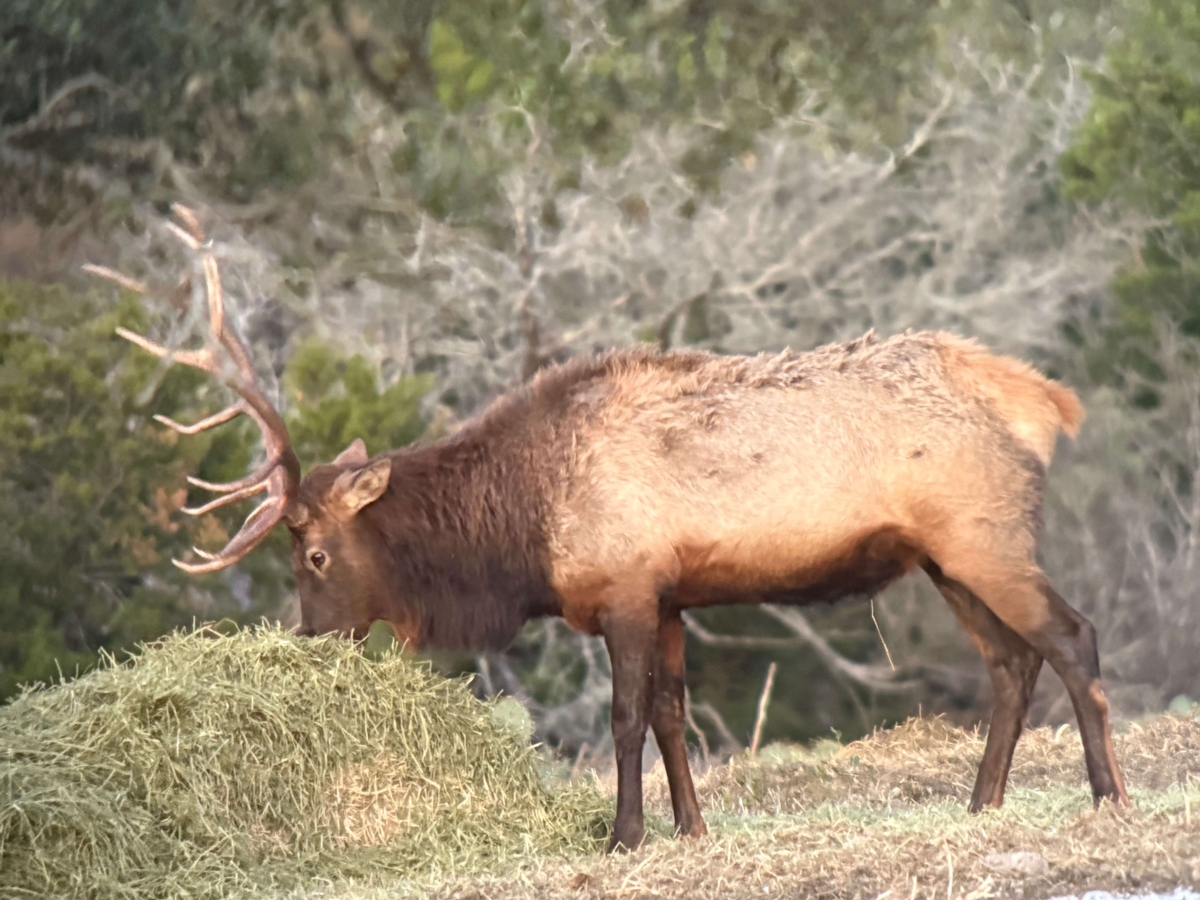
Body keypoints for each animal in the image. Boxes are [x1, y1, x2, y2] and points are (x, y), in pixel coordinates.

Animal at [90, 205, 1128, 854]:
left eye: (311, 553)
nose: (310, 639)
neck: (523, 536)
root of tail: (1045, 401)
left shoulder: (626, 588)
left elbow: (626, 717)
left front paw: (624, 835)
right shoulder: (669, 597)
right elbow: (672, 714)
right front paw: (691, 830)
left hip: (986, 537)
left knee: (1073, 635)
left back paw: (1107, 796)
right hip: (944, 558)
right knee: (1012, 662)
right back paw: (982, 804)